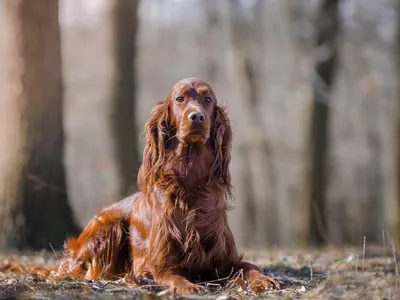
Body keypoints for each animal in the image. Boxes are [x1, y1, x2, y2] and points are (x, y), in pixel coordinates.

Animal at [56, 78, 280, 294]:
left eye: (207, 99)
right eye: (180, 99)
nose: (197, 117)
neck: (191, 185)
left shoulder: (224, 260)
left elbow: (248, 266)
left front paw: (265, 279)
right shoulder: (160, 265)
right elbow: (172, 276)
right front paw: (189, 286)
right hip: (111, 226)